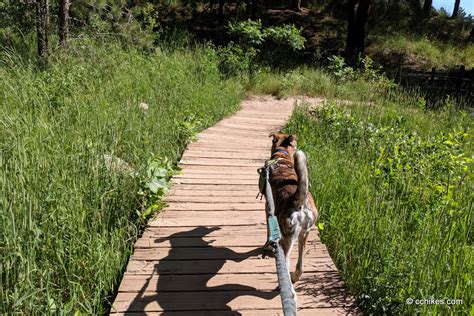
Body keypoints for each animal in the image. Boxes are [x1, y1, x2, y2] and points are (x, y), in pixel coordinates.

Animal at [266, 132, 318, 288]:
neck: (282, 155)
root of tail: (299, 203)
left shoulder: (267, 208)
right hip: (304, 234)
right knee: (300, 265)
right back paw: (295, 277)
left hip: (287, 238)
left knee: (287, 263)